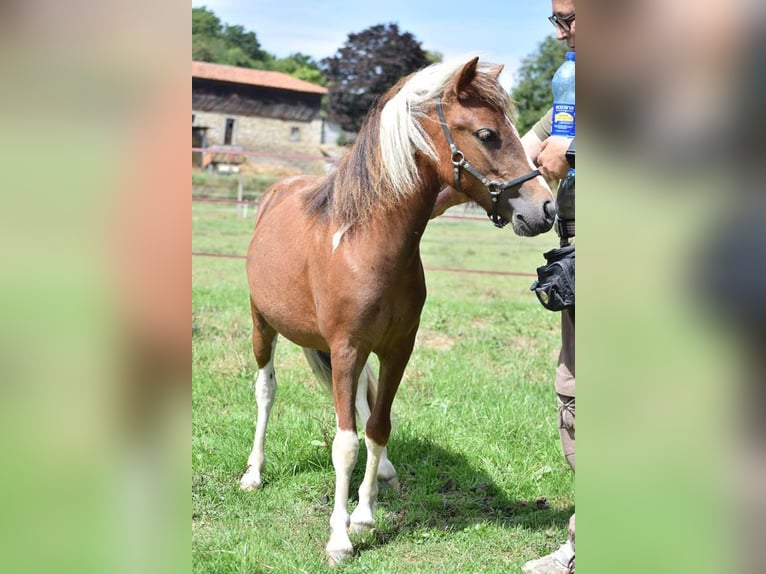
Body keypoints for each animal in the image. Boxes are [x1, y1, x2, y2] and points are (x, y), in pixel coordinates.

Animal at [242, 56, 556, 564]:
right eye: (487, 134)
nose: (544, 209)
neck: (365, 244)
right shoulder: (346, 349)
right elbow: (346, 443)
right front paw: (339, 538)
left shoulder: (396, 349)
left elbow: (377, 425)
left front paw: (365, 515)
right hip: (262, 325)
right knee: (266, 391)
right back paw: (253, 473)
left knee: (363, 402)